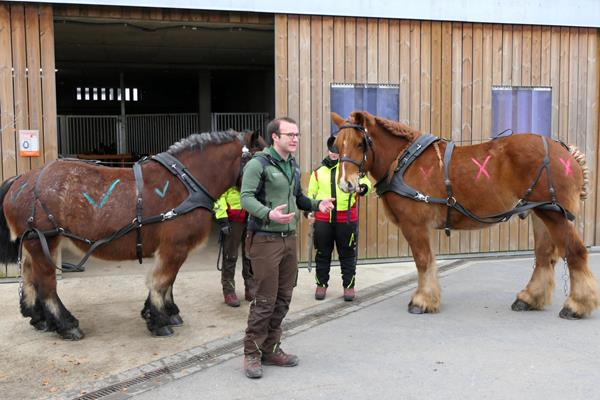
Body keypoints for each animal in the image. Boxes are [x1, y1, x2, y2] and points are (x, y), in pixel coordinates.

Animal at [0, 130, 264, 340]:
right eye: (262, 160)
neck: (187, 183)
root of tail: (21, 180)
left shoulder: (172, 249)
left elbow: (168, 281)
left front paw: (165, 312)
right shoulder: (174, 246)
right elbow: (161, 281)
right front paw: (158, 320)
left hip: (33, 244)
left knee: (29, 277)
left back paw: (39, 318)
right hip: (44, 241)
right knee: (46, 285)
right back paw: (66, 325)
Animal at [332, 111, 600, 320]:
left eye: (360, 143)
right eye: (336, 145)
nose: (346, 184)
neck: (403, 161)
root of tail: (565, 152)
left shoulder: (414, 225)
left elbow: (423, 260)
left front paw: (422, 300)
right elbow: (428, 261)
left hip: (554, 215)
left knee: (575, 253)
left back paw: (577, 305)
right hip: (541, 213)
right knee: (545, 257)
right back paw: (529, 298)